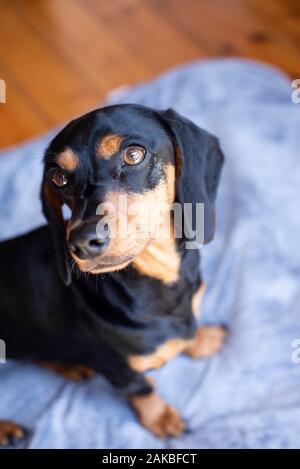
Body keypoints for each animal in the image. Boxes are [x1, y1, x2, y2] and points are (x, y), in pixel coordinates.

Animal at [0, 102, 224, 442]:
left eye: (133, 154)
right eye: (59, 178)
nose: (81, 242)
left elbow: (191, 333)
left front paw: (203, 338)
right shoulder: (119, 369)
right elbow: (142, 390)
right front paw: (161, 418)